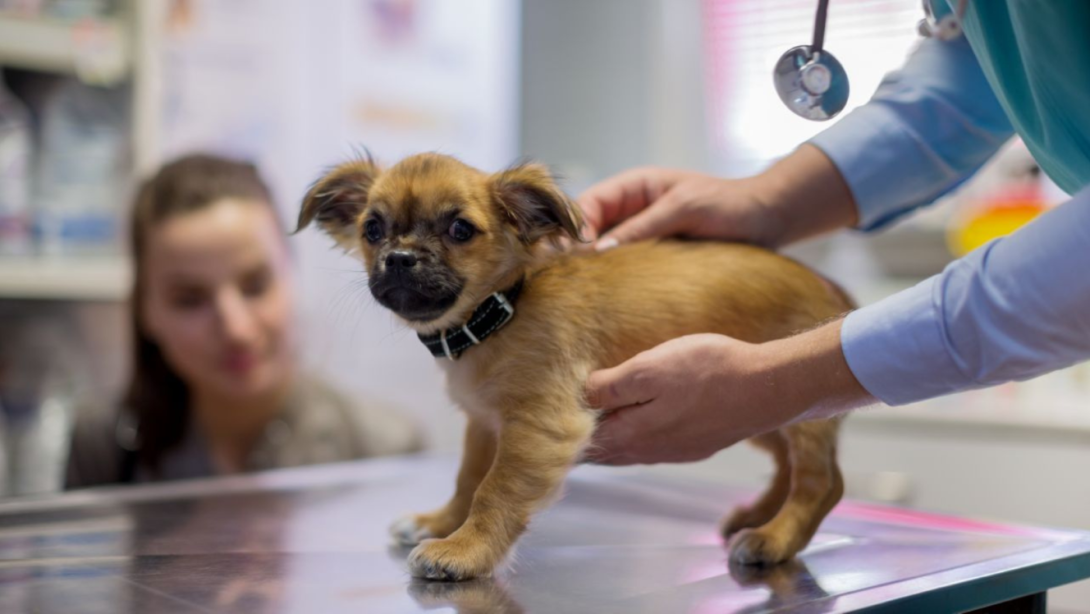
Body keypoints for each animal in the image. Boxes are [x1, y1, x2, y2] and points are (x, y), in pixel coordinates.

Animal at [298, 152, 850, 580]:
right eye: (372, 229)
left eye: (460, 229)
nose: (400, 258)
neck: (498, 311)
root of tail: (833, 289)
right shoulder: (485, 423)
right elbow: (468, 478)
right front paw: (442, 522)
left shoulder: (539, 424)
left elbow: (494, 490)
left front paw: (464, 551)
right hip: (767, 406)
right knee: (790, 466)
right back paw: (759, 515)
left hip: (791, 410)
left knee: (822, 482)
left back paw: (774, 538)